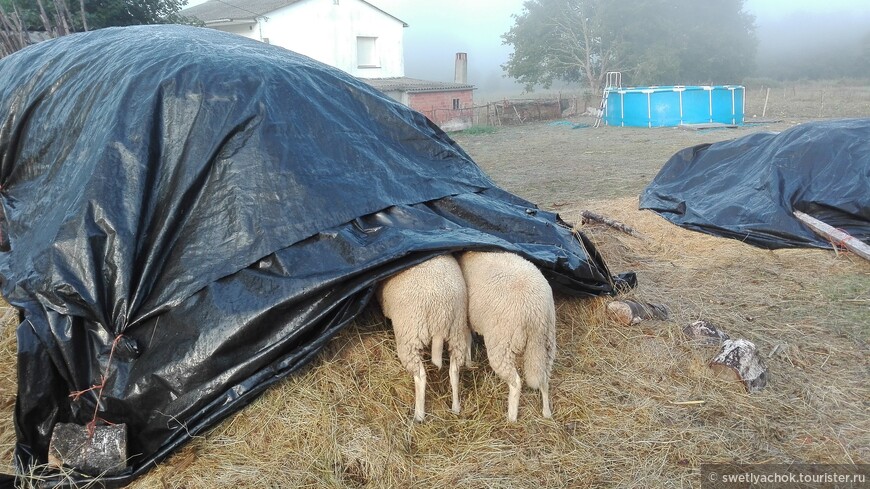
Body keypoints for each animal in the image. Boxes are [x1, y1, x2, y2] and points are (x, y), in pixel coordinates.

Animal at [374, 254, 470, 422]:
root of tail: (441, 314)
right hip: (457, 332)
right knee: (454, 370)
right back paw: (456, 407)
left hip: (410, 336)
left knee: (420, 376)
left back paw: (419, 414)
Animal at [456, 250, 560, 422]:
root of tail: (534, 313)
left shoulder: (465, 318)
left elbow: (467, 338)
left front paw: (469, 363)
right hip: (547, 342)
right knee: (544, 378)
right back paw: (546, 412)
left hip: (502, 344)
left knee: (516, 383)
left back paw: (511, 417)